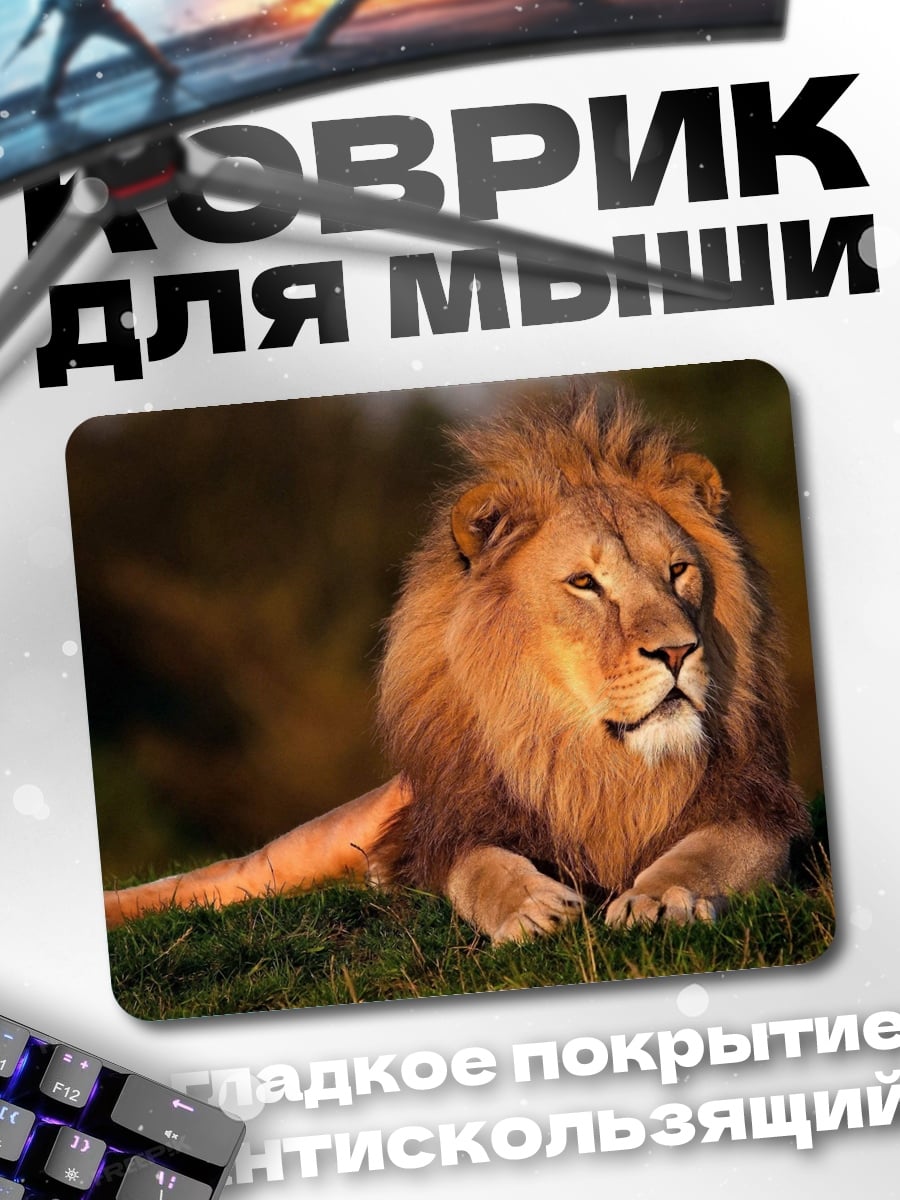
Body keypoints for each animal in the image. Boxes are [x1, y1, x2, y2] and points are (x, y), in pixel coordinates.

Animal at [104, 390, 811, 942]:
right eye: (585, 583)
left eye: (678, 570)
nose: (677, 651)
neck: (596, 761)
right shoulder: (455, 826)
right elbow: (481, 868)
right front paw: (531, 908)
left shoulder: (757, 810)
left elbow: (706, 854)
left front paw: (662, 897)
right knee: (210, 879)